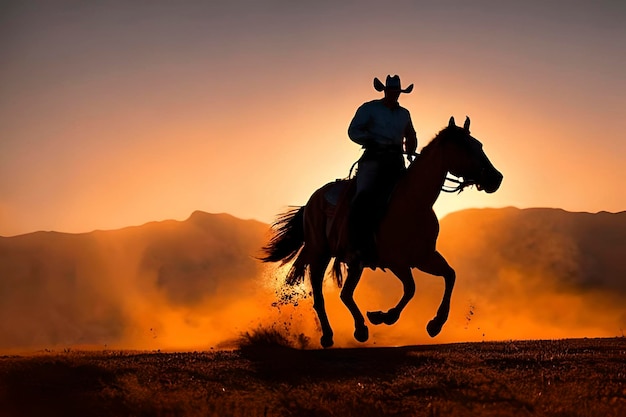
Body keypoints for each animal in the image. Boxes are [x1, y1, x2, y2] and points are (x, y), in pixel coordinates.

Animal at [260, 115, 500, 346]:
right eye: (465, 147)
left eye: (479, 144)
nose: (496, 178)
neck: (413, 202)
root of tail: (313, 200)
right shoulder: (395, 261)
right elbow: (411, 288)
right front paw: (385, 317)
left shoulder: (423, 257)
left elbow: (449, 276)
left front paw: (434, 324)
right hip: (321, 254)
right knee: (324, 296)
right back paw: (336, 334)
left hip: (352, 262)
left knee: (345, 294)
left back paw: (357, 328)